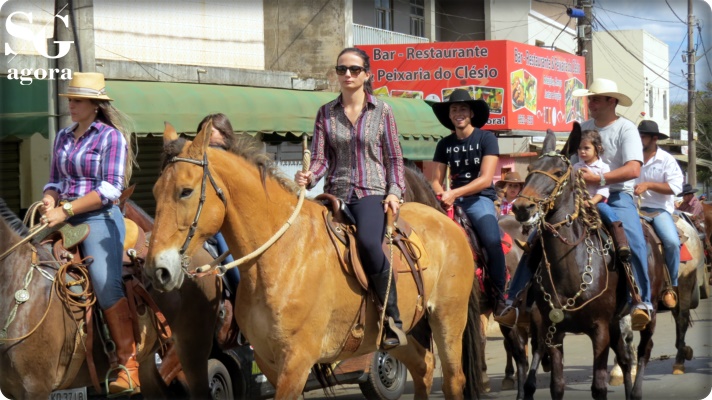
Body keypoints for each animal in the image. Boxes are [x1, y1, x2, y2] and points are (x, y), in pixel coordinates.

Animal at [143, 122, 486, 399]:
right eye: (156, 191)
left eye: (186, 191)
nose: (157, 270)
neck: (281, 255)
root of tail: (444, 219)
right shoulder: (269, 361)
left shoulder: (296, 360)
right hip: (396, 336)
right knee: (423, 366)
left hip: (448, 318)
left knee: (453, 379)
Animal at [510, 129, 665, 400]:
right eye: (529, 168)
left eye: (559, 171)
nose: (521, 207)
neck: (570, 266)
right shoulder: (552, 330)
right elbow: (557, 386)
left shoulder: (599, 329)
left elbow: (599, 387)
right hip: (615, 321)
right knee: (625, 359)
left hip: (650, 310)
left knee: (644, 350)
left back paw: (635, 391)